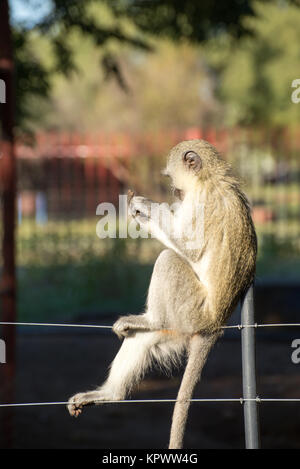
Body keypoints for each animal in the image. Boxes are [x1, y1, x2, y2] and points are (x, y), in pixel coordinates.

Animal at [67, 140, 256, 450]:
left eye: (170, 179)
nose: (174, 192)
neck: (209, 178)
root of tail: (215, 324)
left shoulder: (204, 202)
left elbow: (190, 248)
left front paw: (145, 208)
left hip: (191, 311)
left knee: (169, 258)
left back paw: (151, 318)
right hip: (179, 326)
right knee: (143, 337)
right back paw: (111, 393)